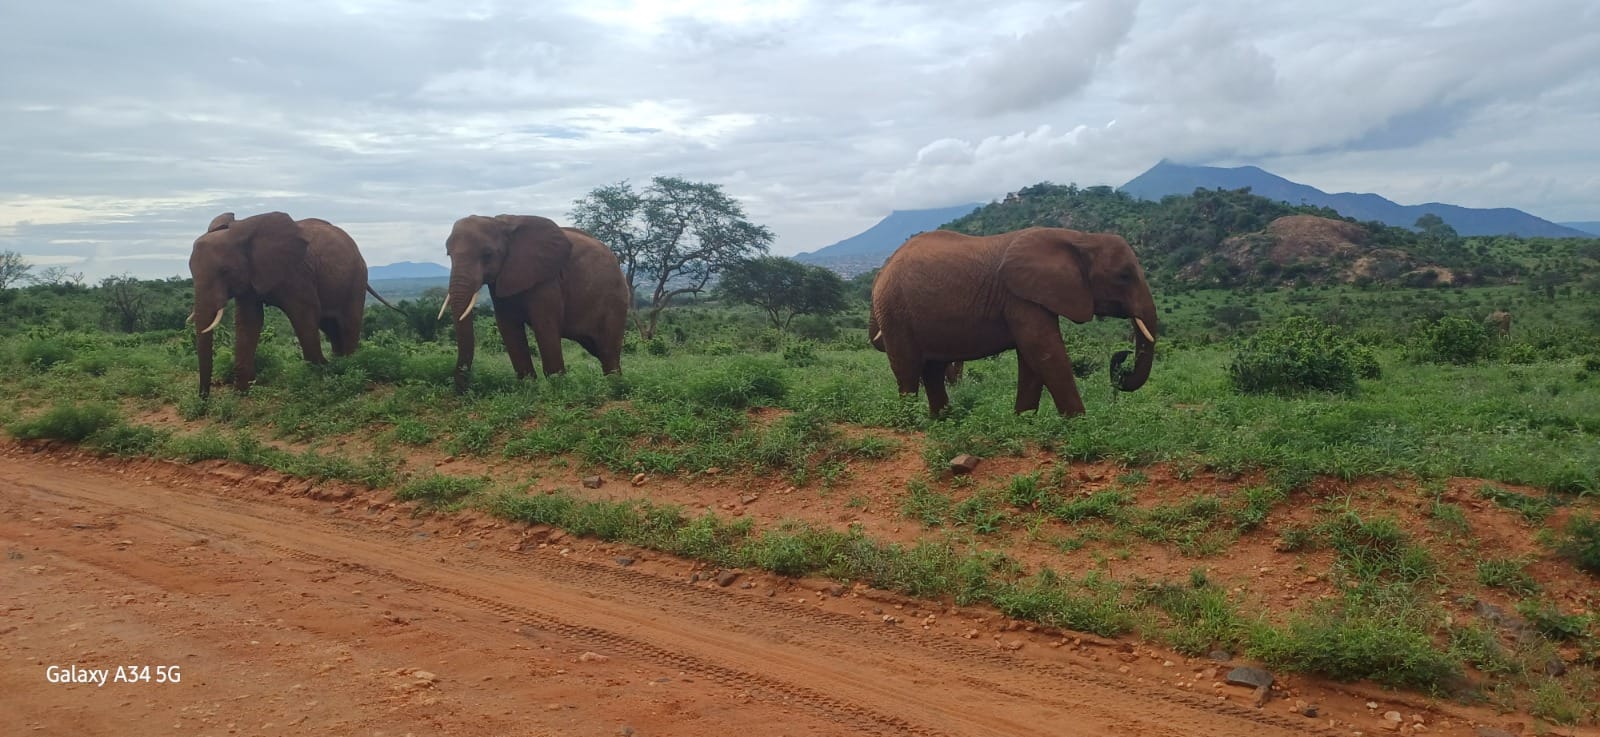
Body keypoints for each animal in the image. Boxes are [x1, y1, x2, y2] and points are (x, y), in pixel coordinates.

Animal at [189, 211, 396, 398]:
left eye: (225, 271)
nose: (203, 398)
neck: (240, 230)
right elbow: (249, 321)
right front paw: (242, 392)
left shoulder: (297, 271)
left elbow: (304, 313)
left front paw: (317, 376)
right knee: (330, 325)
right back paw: (339, 363)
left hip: (355, 278)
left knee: (348, 322)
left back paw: (350, 365)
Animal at [441, 214, 629, 394]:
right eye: (449, 255)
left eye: (487, 254)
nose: (462, 390)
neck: (499, 223)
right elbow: (508, 327)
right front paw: (528, 388)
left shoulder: (547, 279)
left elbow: (544, 325)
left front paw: (557, 388)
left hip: (615, 298)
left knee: (607, 351)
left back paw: (613, 387)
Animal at [867, 227, 1157, 417]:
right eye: (1124, 276)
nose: (1122, 356)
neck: (1080, 238)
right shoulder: (1020, 297)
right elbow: (1044, 352)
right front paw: (1079, 424)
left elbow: (1032, 359)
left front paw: (1023, 421)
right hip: (894, 312)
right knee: (907, 369)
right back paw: (911, 423)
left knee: (933, 370)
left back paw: (944, 421)